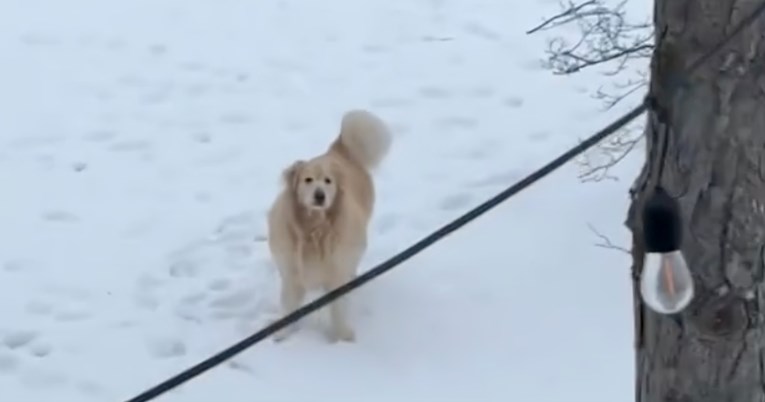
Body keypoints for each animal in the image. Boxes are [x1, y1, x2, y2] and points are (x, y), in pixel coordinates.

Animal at [266, 110, 390, 342]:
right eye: (307, 180)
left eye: (328, 181)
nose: (320, 195)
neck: (313, 228)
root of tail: (338, 149)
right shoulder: (291, 273)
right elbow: (288, 306)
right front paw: (282, 334)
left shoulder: (336, 271)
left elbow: (339, 308)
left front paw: (342, 337)